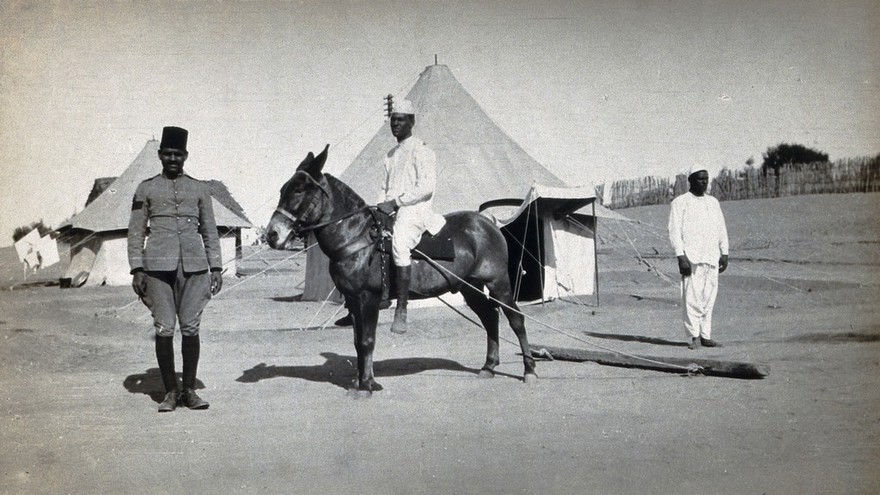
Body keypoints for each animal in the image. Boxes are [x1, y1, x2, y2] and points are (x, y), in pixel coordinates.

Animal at [265, 145, 537, 396]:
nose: (271, 235)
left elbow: (367, 340)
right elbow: (357, 341)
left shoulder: (369, 298)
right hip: (470, 287)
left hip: (498, 283)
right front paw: (360, 381)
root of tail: (488, 223)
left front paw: (367, 385)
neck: (358, 238)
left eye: (299, 190)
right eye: (282, 190)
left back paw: (529, 371)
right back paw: (488, 367)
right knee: (490, 317)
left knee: (515, 318)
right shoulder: (353, 300)